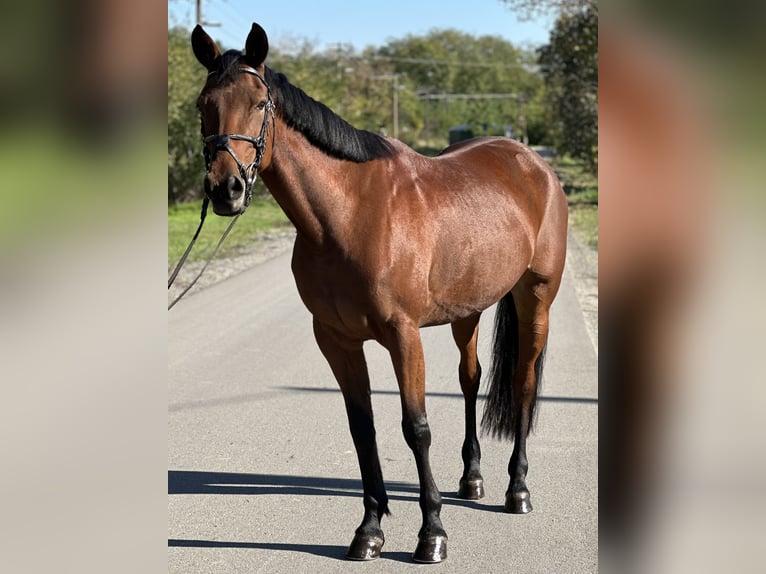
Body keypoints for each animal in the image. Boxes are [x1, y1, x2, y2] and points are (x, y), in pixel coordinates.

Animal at [189, 24, 568, 564]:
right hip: (467, 310)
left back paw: (517, 490)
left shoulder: (402, 335)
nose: (226, 190)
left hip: (535, 297)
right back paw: (472, 478)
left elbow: (416, 427)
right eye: (204, 103)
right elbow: (362, 428)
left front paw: (432, 534)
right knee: (470, 378)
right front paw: (368, 531)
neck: (349, 214)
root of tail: (533, 162)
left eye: (260, 103)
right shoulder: (337, 341)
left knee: (522, 383)